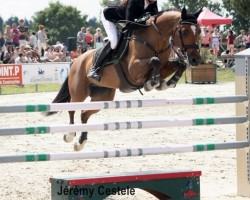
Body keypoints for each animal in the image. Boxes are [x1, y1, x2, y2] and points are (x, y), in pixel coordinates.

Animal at [47, 7, 202, 152]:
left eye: (199, 32)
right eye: (185, 32)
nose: (196, 60)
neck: (154, 39)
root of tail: (76, 60)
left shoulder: (165, 66)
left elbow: (178, 64)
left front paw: (167, 82)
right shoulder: (134, 69)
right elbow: (154, 61)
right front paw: (152, 83)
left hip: (103, 97)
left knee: (84, 114)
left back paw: (80, 143)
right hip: (79, 92)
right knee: (72, 109)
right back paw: (69, 135)